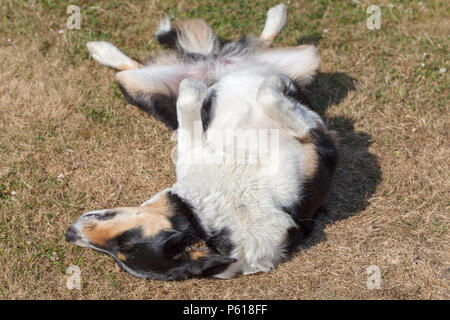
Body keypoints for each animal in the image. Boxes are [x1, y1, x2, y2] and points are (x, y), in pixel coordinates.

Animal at [65, 3, 336, 280]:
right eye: (118, 259)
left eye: (125, 243)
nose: (69, 233)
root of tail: (214, 62)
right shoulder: (191, 149)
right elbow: (195, 98)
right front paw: (199, 90)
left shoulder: (315, 134)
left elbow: (265, 95)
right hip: (133, 84)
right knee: (132, 67)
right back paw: (102, 50)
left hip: (310, 56)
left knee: (264, 45)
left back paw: (275, 18)